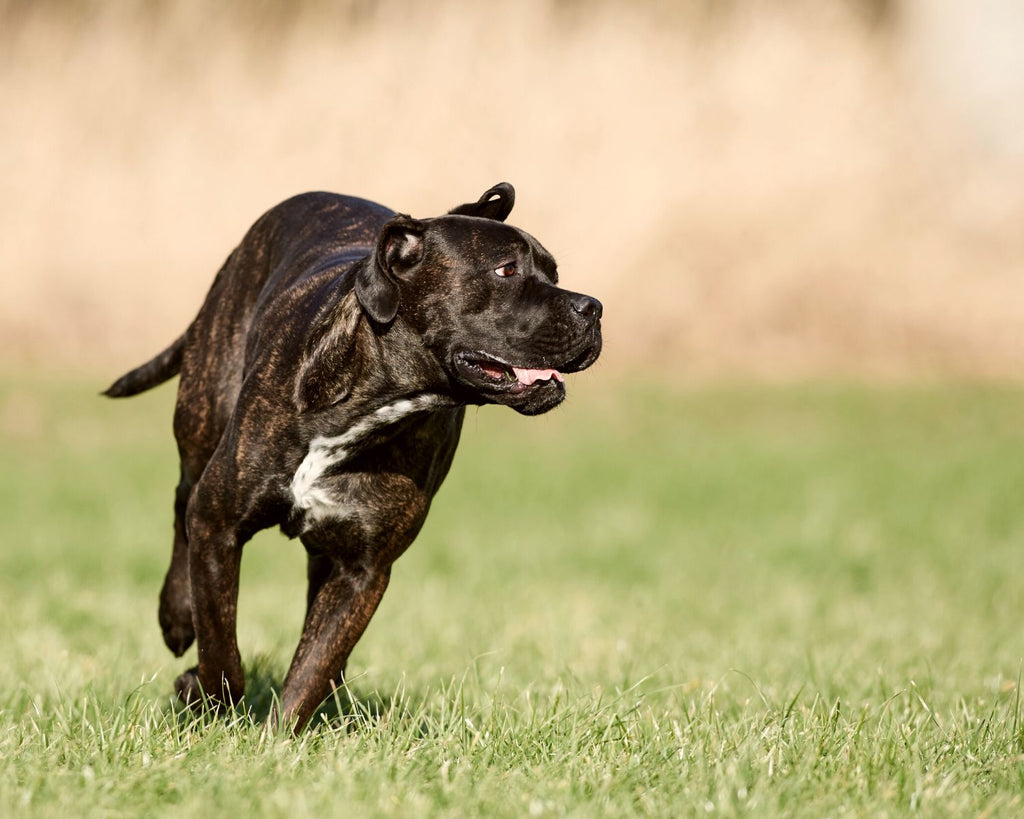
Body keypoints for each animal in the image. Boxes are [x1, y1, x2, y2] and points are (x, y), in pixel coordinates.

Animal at [105, 184, 598, 728]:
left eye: (554, 273)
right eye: (505, 270)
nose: (593, 307)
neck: (374, 400)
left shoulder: (361, 569)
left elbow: (312, 667)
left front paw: (278, 736)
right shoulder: (219, 523)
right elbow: (221, 644)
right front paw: (206, 695)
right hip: (202, 417)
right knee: (181, 502)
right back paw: (176, 616)